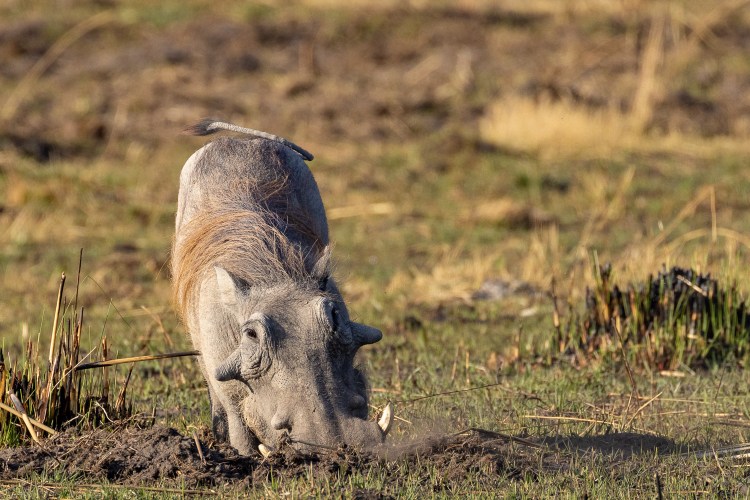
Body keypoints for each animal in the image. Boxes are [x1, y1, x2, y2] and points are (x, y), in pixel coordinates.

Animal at [171, 119, 392, 456]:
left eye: (334, 316)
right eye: (251, 334)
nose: (335, 445)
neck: (272, 275)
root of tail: (237, 141)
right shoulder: (224, 382)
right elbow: (240, 432)